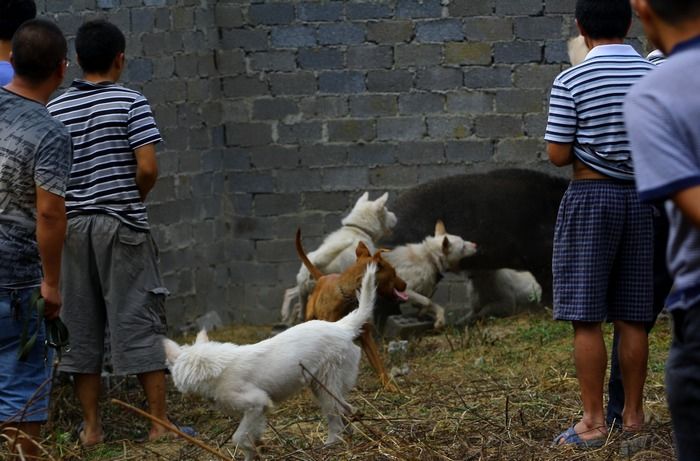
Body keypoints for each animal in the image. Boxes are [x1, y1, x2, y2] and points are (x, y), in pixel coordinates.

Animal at [163, 262, 378, 460]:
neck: (213, 368)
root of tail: (342, 327)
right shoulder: (257, 412)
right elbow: (251, 437)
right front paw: (255, 450)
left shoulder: (256, 403)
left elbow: (238, 437)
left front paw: (250, 449)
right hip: (321, 388)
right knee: (348, 409)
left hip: (326, 387)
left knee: (337, 419)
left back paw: (330, 445)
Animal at [280, 192, 400, 326]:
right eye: (387, 210)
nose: (396, 216)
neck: (357, 229)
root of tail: (316, 264)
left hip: (304, 289)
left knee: (291, 296)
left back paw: (286, 316)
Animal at [294, 229, 404, 388]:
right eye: (394, 273)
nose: (405, 285)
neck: (348, 297)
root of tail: (322, 278)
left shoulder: (366, 337)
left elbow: (379, 364)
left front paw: (390, 386)